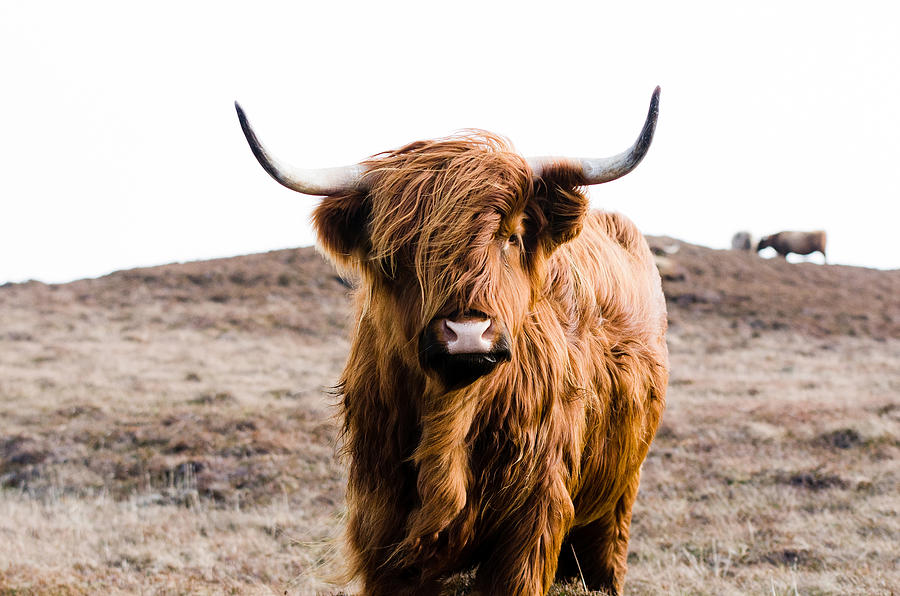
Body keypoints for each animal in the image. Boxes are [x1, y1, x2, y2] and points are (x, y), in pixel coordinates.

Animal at [239, 88, 668, 596]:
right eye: (398, 251)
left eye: (512, 236)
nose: (467, 334)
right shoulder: (382, 523)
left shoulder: (532, 522)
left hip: (618, 496)